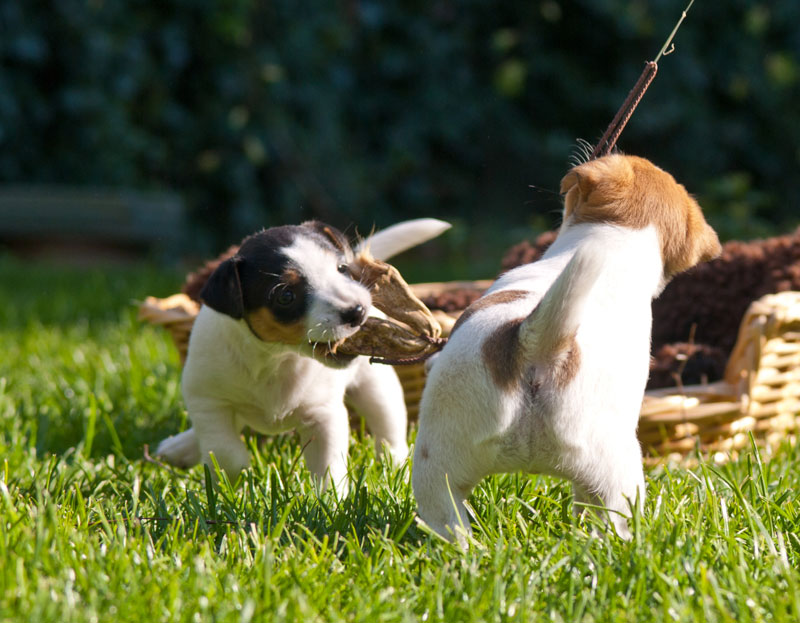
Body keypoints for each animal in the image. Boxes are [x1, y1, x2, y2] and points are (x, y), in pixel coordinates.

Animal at [156, 219, 450, 492]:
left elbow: (329, 467)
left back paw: (396, 464)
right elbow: (225, 451)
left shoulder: (324, 416)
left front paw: (332, 502)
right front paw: (233, 479)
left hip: (377, 388)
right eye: (286, 295)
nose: (357, 312)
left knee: (389, 429)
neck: (277, 359)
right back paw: (180, 447)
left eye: (342, 269)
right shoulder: (208, 403)